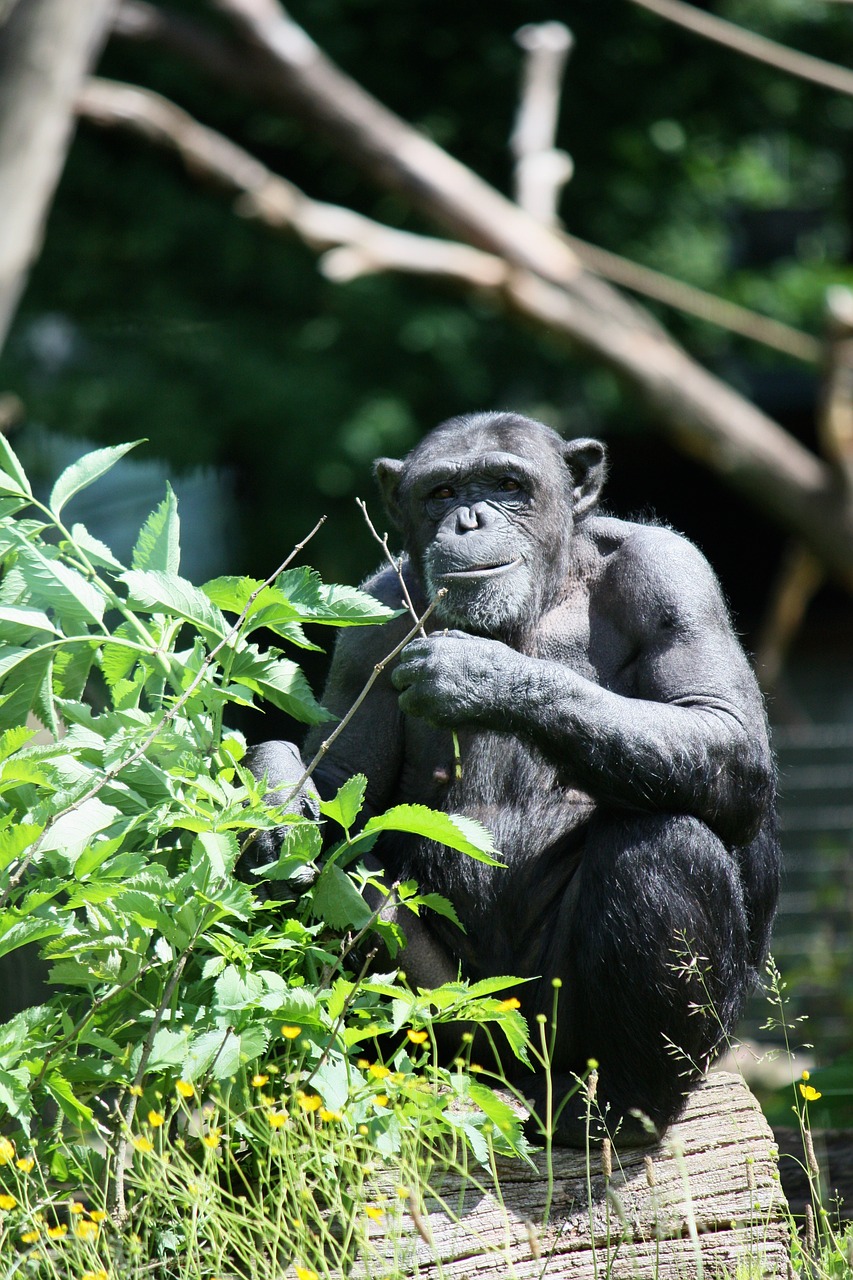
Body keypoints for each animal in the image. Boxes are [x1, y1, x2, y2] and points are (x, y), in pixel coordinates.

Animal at [247, 412, 778, 1152]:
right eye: (441, 491)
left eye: (506, 485)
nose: (469, 518)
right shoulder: (370, 624)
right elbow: (341, 779)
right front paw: (273, 806)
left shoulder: (673, 574)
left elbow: (722, 727)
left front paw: (479, 673)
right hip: (460, 1015)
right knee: (344, 884)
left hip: (563, 1029)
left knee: (667, 838)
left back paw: (620, 1108)